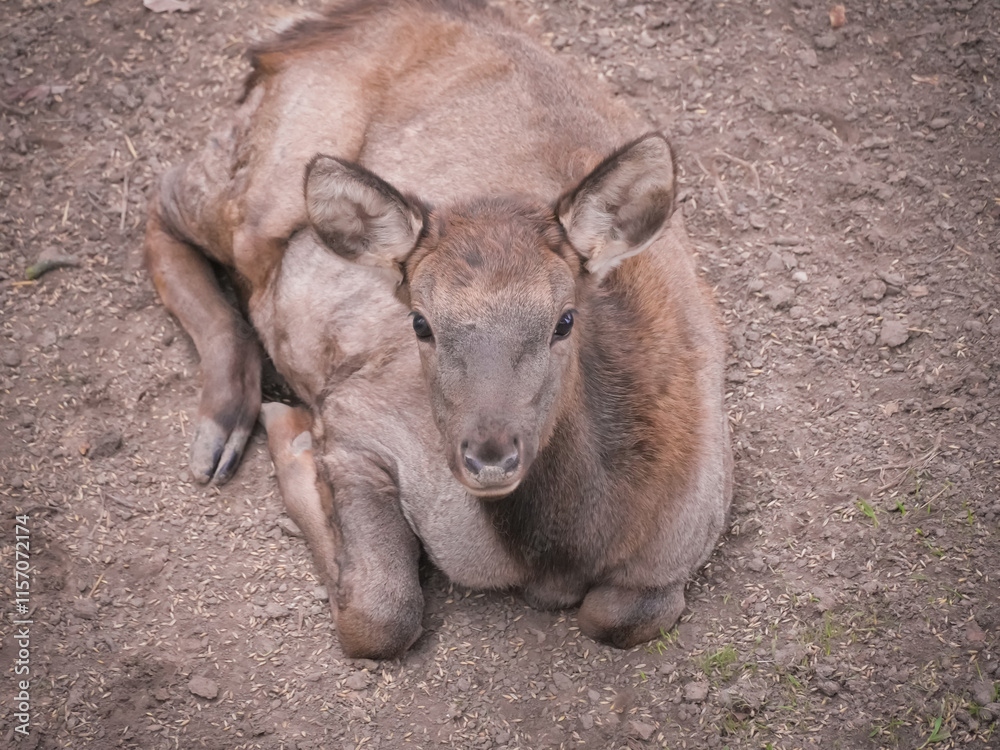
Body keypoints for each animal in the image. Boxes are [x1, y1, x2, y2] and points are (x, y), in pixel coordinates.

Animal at [145, 0, 733, 659]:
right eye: (421, 322)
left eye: (564, 320)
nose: (490, 457)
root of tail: (302, 28)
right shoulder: (362, 418)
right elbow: (379, 613)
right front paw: (295, 443)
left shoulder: (691, 533)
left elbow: (619, 617)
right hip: (258, 192)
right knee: (164, 199)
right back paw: (223, 426)